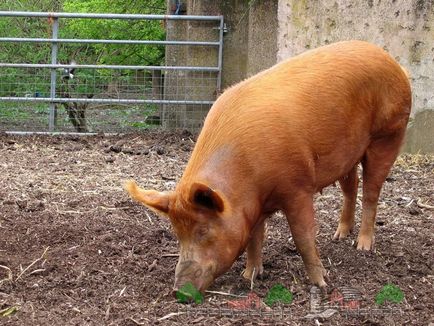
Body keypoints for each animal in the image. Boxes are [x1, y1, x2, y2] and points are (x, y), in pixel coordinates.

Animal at [124, 40, 410, 292]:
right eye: (177, 233)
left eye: (203, 230)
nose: (179, 291)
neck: (248, 182)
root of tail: (393, 62)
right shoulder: (255, 205)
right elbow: (254, 237)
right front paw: (250, 275)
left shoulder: (297, 187)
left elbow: (303, 237)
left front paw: (321, 283)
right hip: (348, 153)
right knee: (351, 187)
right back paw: (339, 236)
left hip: (388, 134)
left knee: (372, 191)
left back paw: (362, 246)